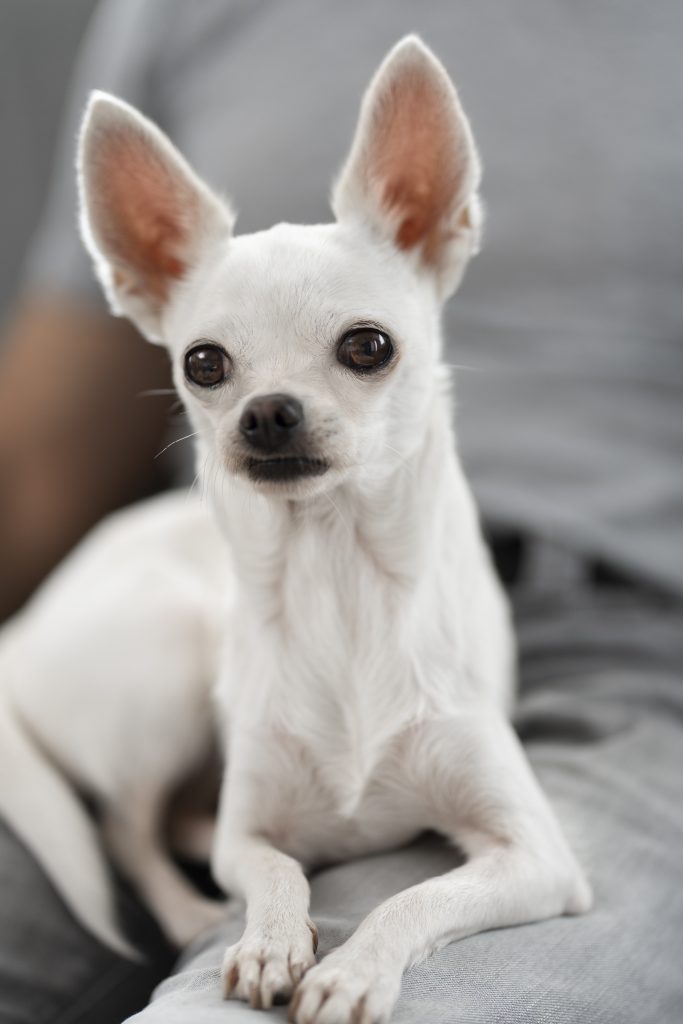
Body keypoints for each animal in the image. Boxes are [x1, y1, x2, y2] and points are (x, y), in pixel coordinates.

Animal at [0, 36, 589, 1024]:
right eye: (203, 364)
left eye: (368, 346)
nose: (267, 411)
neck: (338, 577)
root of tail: (18, 634)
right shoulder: (249, 834)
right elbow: (274, 867)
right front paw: (271, 939)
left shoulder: (536, 858)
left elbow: (412, 897)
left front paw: (352, 968)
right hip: (174, 653)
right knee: (127, 826)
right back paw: (196, 908)